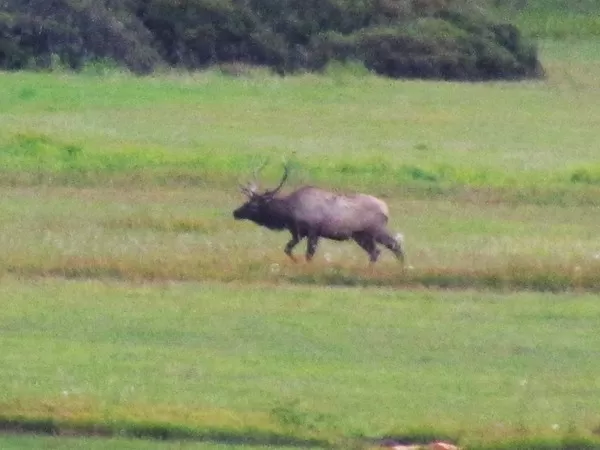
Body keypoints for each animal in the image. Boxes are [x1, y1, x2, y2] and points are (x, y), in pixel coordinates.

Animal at [232, 163, 406, 264]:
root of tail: (386, 208)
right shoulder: (298, 232)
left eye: (254, 205)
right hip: (360, 235)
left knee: (394, 245)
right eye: (246, 202)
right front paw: (296, 262)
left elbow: (309, 254)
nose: (235, 212)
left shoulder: (313, 231)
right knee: (376, 251)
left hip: (376, 230)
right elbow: (287, 249)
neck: (289, 213)